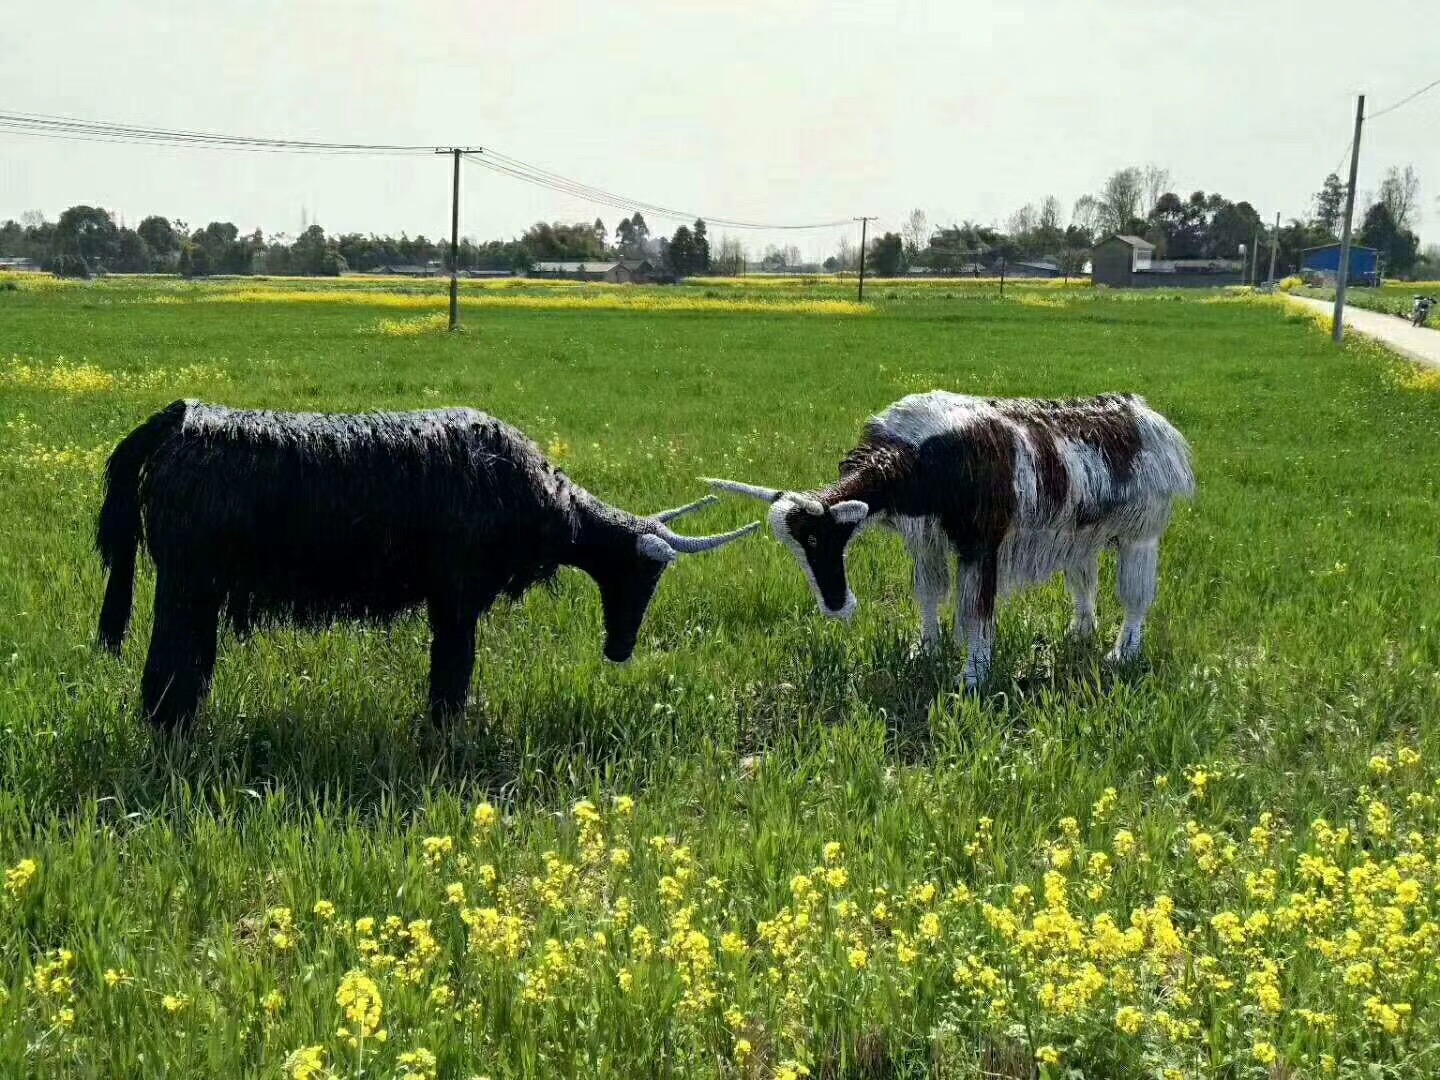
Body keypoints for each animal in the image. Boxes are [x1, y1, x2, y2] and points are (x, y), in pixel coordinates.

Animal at [705, 394, 1192, 688]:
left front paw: (972, 677)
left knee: (1135, 597)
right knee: (1083, 582)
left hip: (1142, 532)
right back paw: (1081, 632)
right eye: (794, 546)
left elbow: (975, 611)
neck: (917, 457)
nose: (836, 607)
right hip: (1079, 534)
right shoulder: (927, 540)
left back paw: (1122, 654)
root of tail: (1150, 419)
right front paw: (926, 650)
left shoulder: (982, 543)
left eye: (816, 537)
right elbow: (928, 593)